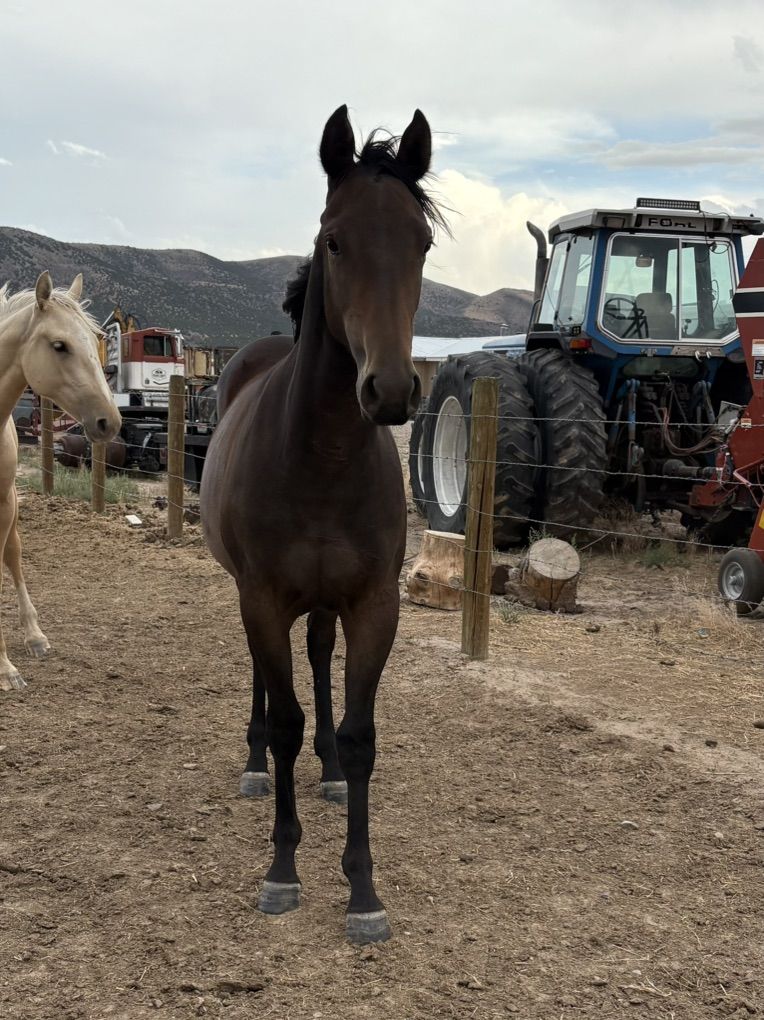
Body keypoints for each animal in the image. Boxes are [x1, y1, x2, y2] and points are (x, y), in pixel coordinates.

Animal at [0, 272, 122, 691]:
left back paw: (35, 636)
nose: (109, 421)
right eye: (59, 345)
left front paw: (5, 666)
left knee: (13, 557)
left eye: (97, 340)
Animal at [201, 105, 441, 943]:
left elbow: (361, 733)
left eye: (421, 242)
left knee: (318, 666)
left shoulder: (374, 604)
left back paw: (330, 772)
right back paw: (251, 765)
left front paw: (363, 889)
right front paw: (283, 870)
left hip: (326, 606)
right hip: (252, 599)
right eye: (335, 239)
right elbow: (285, 723)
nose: (391, 389)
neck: (322, 458)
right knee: (267, 689)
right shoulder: (263, 599)